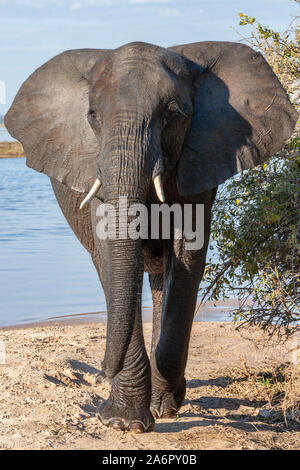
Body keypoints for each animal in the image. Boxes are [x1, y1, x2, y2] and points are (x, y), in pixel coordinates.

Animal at [5, 41, 298, 434]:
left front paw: (163, 407)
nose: (100, 373)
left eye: (172, 112)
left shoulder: (199, 158)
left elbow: (187, 256)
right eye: (93, 114)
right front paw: (122, 423)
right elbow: (110, 254)